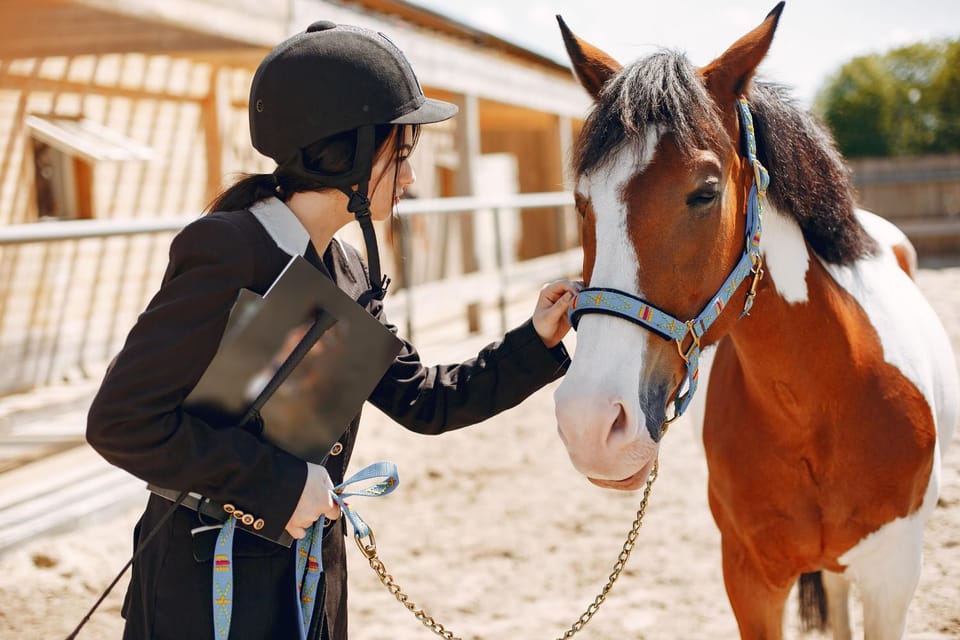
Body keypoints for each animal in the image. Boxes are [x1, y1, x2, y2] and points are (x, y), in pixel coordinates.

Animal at [552, 4, 959, 638]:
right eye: (581, 201)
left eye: (705, 192)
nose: (590, 426)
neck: (816, 407)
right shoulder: (748, 577)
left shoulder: (893, 580)